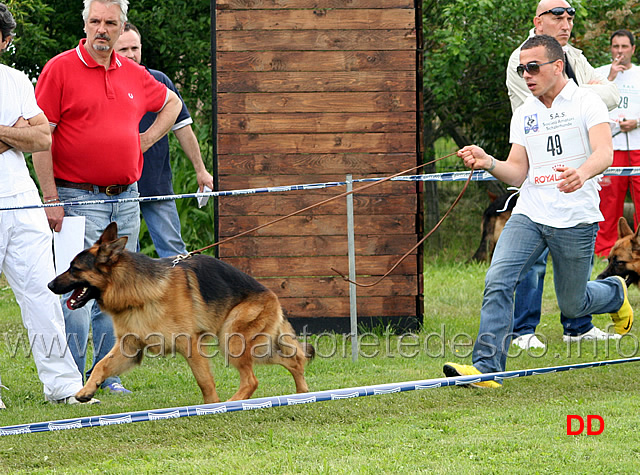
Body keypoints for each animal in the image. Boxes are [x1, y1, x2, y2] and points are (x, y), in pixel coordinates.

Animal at [47, 225, 312, 404]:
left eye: (74, 269)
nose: (49, 285)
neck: (136, 292)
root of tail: (272, 295)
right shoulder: (129, 348)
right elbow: (102, 364)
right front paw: (86, 390)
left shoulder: (190, 345)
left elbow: (204, 381)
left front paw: (212, 407)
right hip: (252, 346)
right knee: (295, 360)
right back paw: (303, 394)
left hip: (233, 340)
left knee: (253, 379)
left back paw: (233, 403)